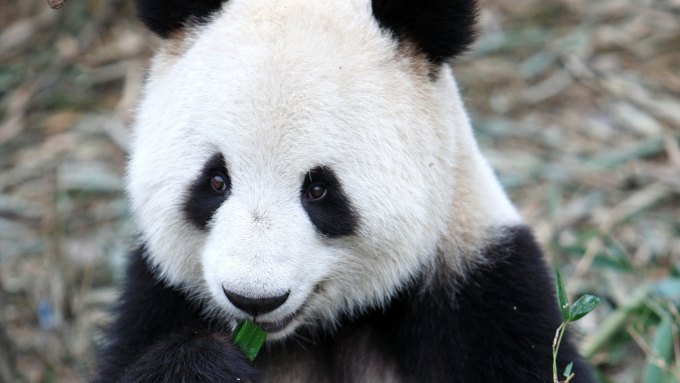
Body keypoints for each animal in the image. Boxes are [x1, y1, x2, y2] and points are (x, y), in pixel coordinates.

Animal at [94, 0, 596, 383]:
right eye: (216, 181)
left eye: (318, 190)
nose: (254, 299)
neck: (313, 330)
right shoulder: (158, 299)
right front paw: (202, 364)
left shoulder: (487, 296)